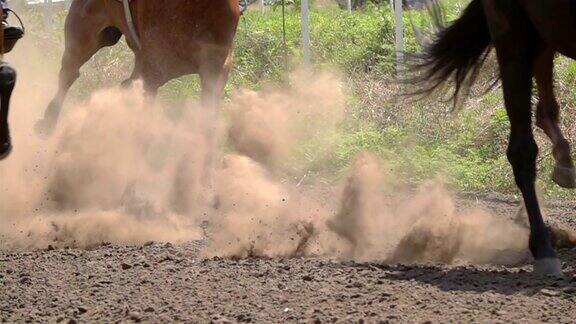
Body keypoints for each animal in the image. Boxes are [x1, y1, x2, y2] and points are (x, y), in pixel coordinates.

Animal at [412, 0, 576, 276]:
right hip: (511, 29)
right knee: (522, 149)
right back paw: (544, 249)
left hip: (543, 34)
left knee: (544, 110)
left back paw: (564, 164)